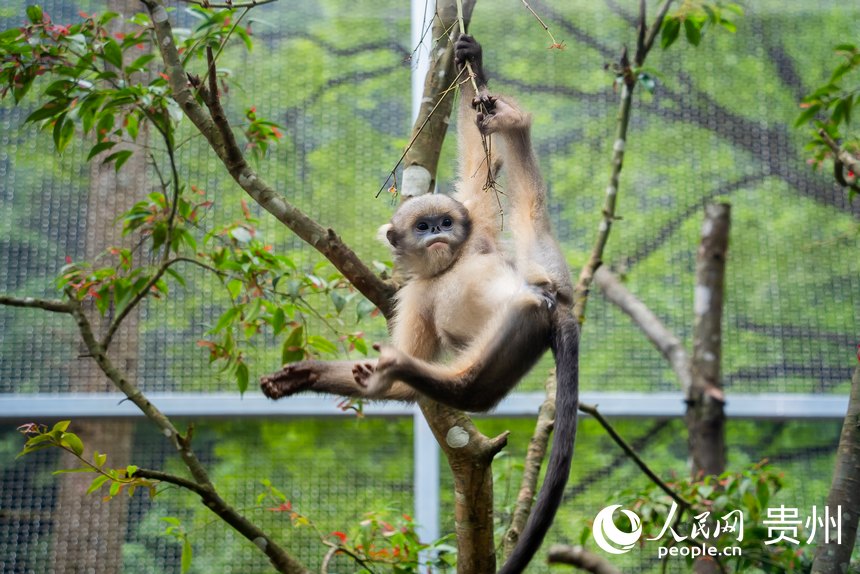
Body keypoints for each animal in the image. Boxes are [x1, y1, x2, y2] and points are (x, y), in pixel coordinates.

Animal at [262, 36, 580, 574]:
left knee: (472, 385)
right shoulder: (416, 293)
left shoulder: (476, 234)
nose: (438, 235)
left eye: (444, 223)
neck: (445, 269)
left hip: (532, 299)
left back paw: (509, 122)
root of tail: (557, 307)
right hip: (544, 278)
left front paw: (470, 56)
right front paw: (304, 376)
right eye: (424, 227)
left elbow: (479, 172)